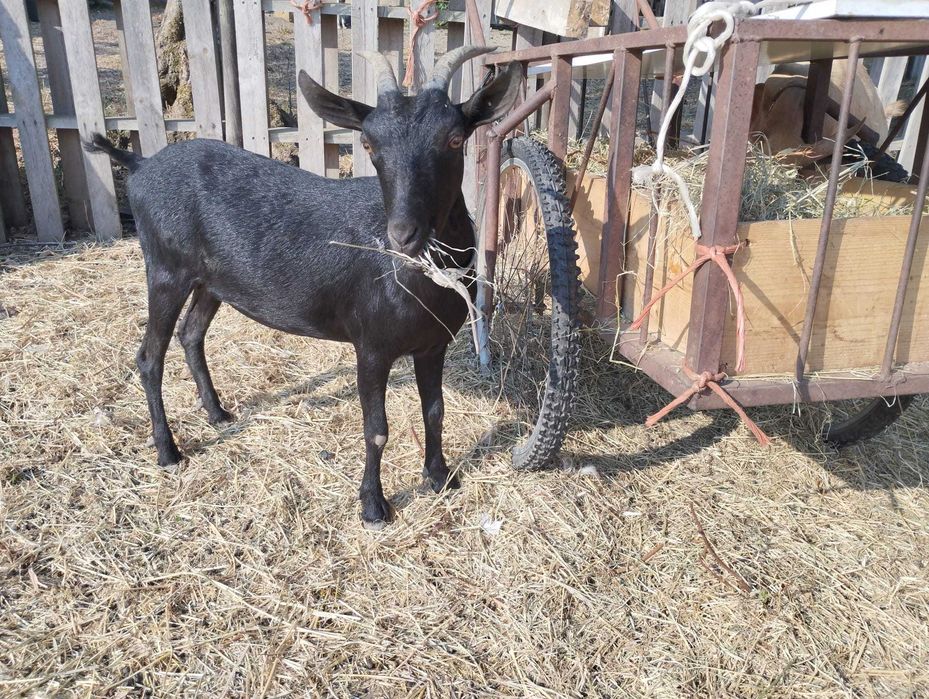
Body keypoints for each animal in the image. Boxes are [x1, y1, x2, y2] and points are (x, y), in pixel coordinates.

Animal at [87, 47, 522, 530]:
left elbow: (435, 412)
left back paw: (217, 413)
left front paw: (441, 477)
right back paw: (168, 451)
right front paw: (374, 507)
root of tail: (141, 165)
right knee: (150, 357)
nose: (403, 235)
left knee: (191, 333)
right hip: (165, 270)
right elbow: (377, 429)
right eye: (369, 145)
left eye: (454, 139)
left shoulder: (433, 344)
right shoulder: (371, 346)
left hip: (212, 282)